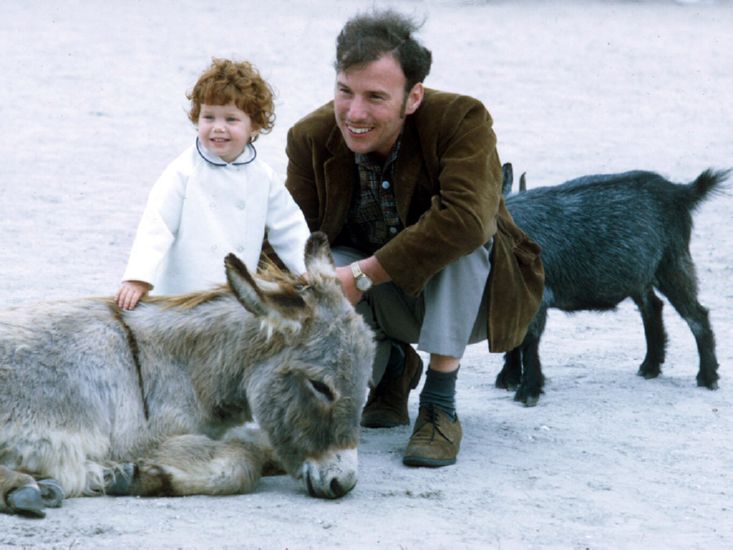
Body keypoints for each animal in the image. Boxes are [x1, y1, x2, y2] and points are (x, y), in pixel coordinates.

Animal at [498, 166, 728, 408]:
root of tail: (680, 192)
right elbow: (513, 337)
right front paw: (509, 378)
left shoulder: (539, 297)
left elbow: (529, 340)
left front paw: (528, 390)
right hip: (640, 276)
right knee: (652, 307)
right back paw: (650, 367)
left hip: (672, 263)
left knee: (697, 315)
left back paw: (707, 377)